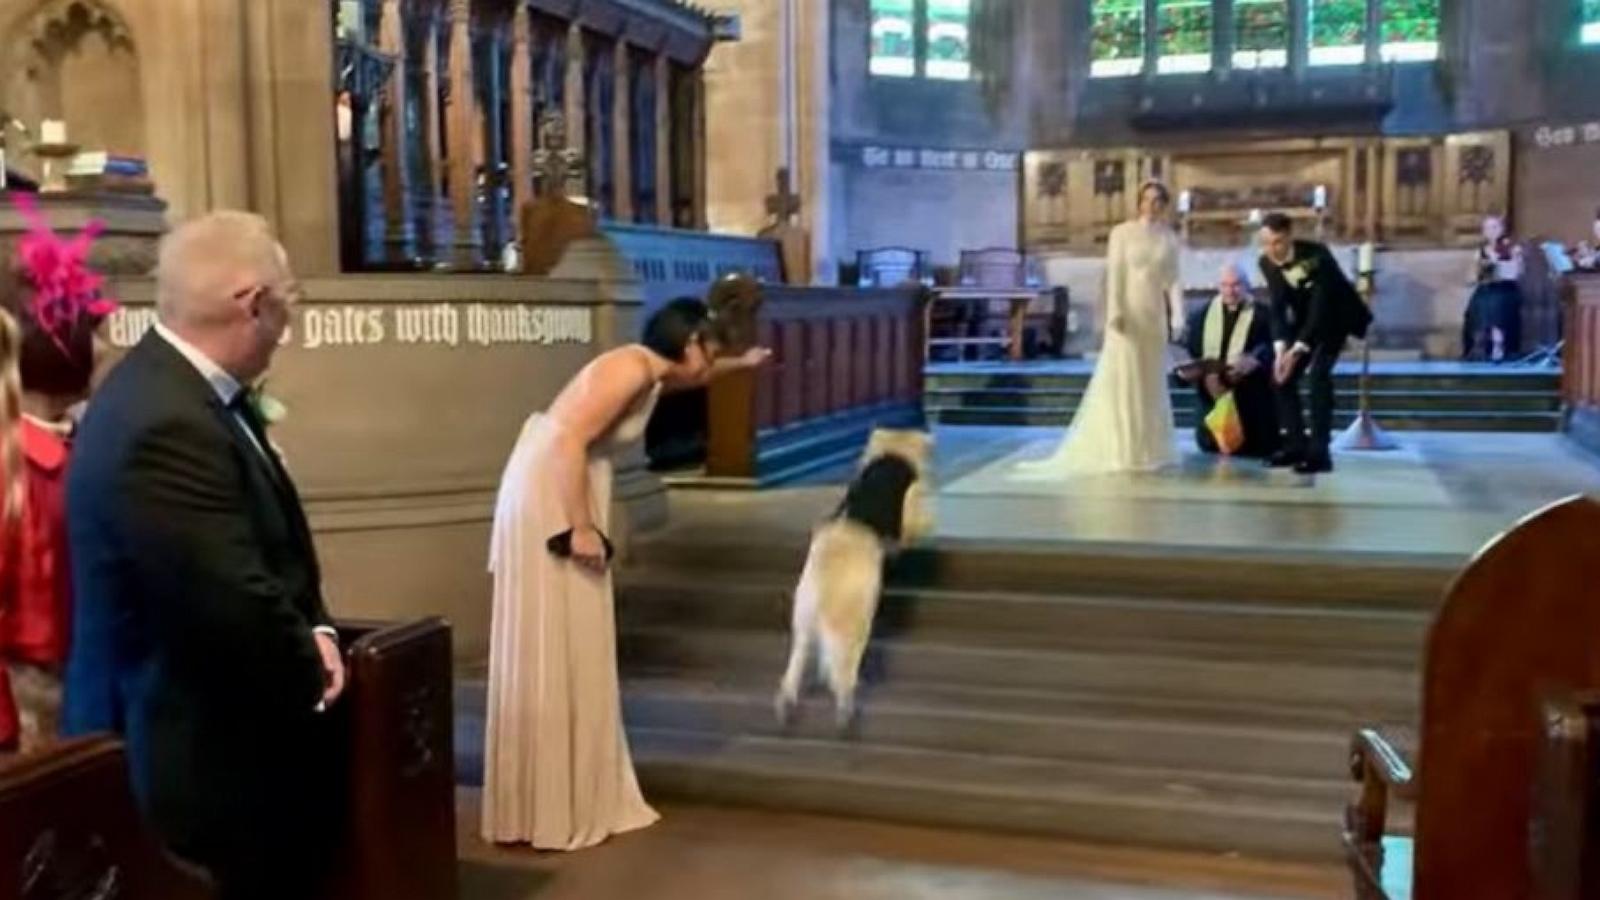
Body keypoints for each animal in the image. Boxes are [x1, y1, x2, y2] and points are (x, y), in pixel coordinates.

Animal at [771, 425, 934, 730]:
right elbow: (912, 528)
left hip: (802, 620)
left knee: (795, 665)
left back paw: (786, 705)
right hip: (850, 627)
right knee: (842, 672)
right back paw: (846, 710)